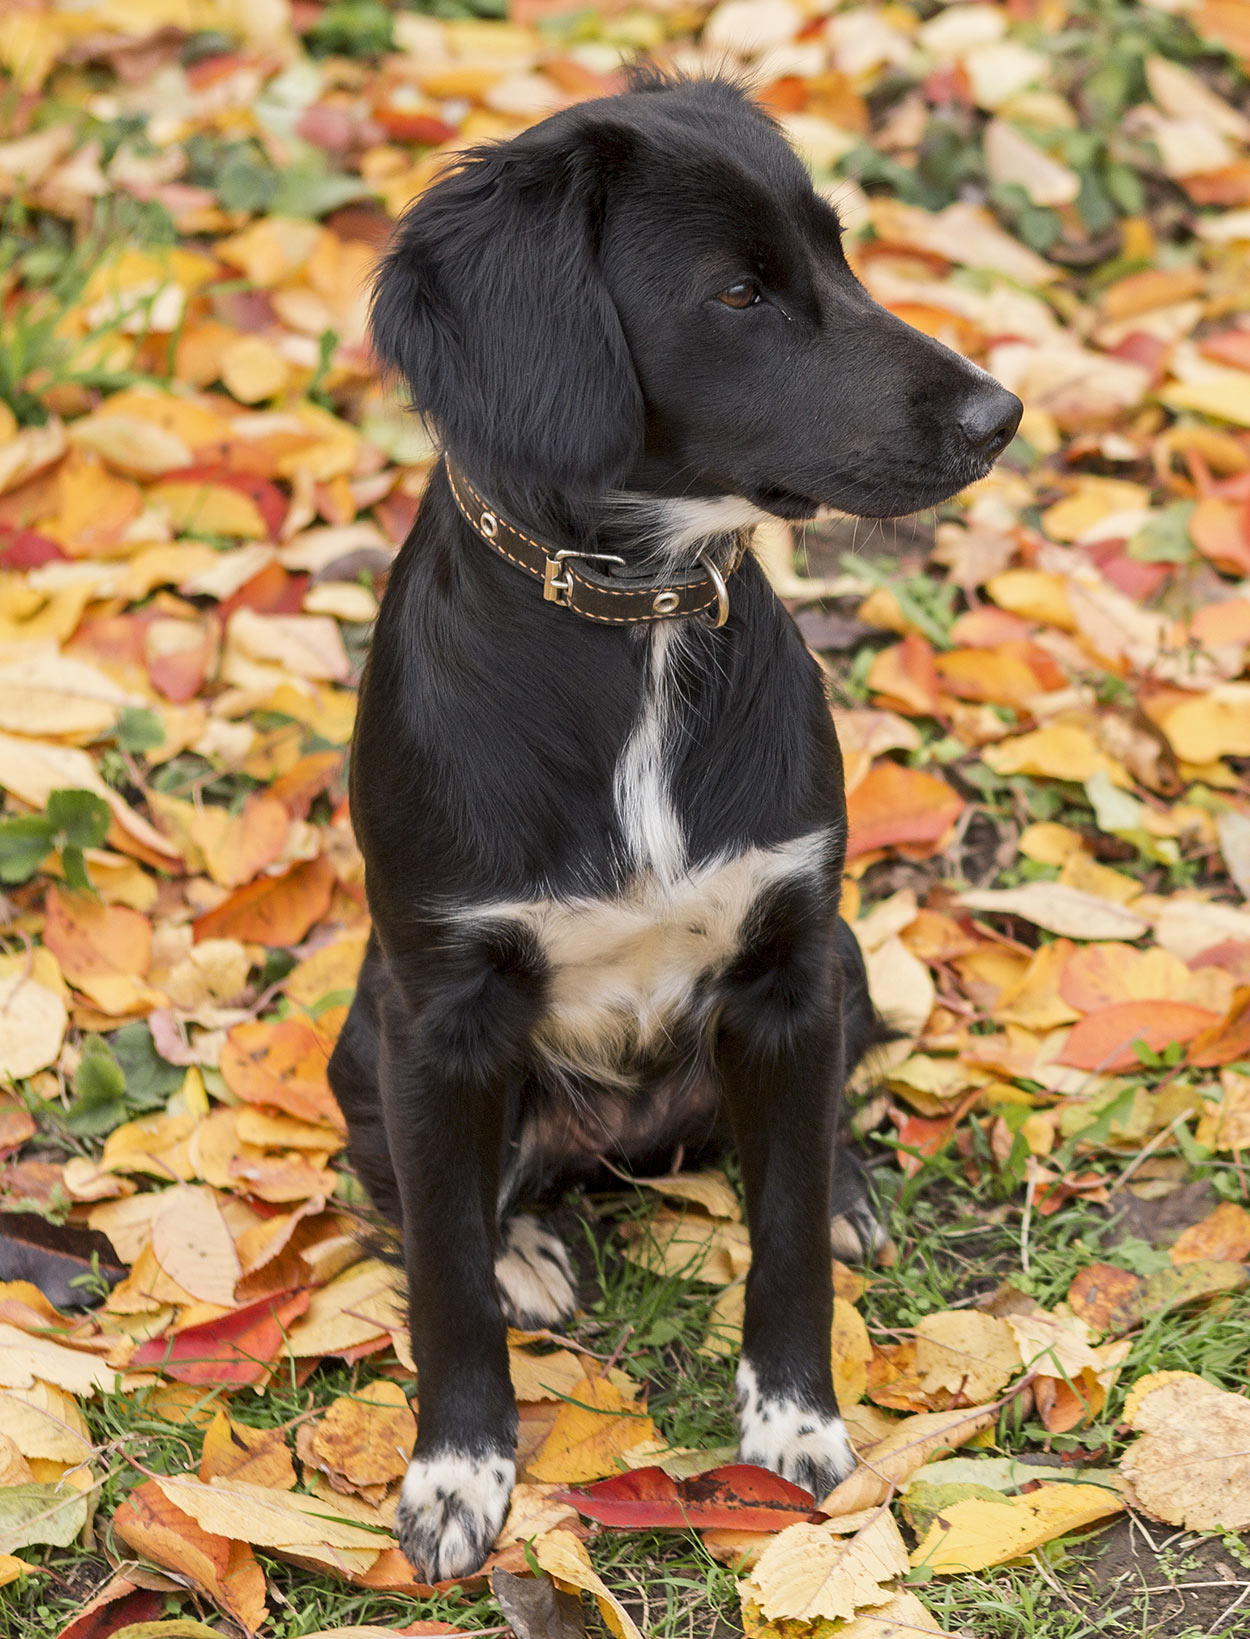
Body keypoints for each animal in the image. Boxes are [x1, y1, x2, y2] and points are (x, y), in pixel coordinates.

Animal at [329, 70, 1015, 1579]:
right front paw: (458, 1471)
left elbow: (784, 1234)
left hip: (846, 961)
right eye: (738, 294)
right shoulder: (436, 1008)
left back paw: (843, 1179)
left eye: (835, 253)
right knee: (434, 1195)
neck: (631, 615)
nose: (998, 413)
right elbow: (441, 1274)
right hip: (365, 1041)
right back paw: (524, 1243)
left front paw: (795, 1420)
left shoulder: (788, 965)